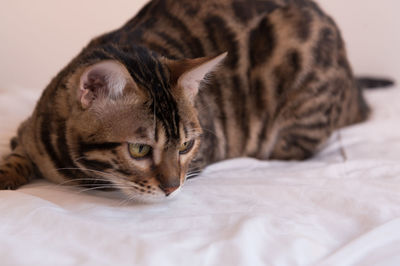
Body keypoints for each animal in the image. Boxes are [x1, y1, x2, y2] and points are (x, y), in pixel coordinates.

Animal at [0, 0, 394, 202]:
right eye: (139, 150)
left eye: (186, 146)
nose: (172, 187)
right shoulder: (26, 132)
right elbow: (16, 154)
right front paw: (6, 173)